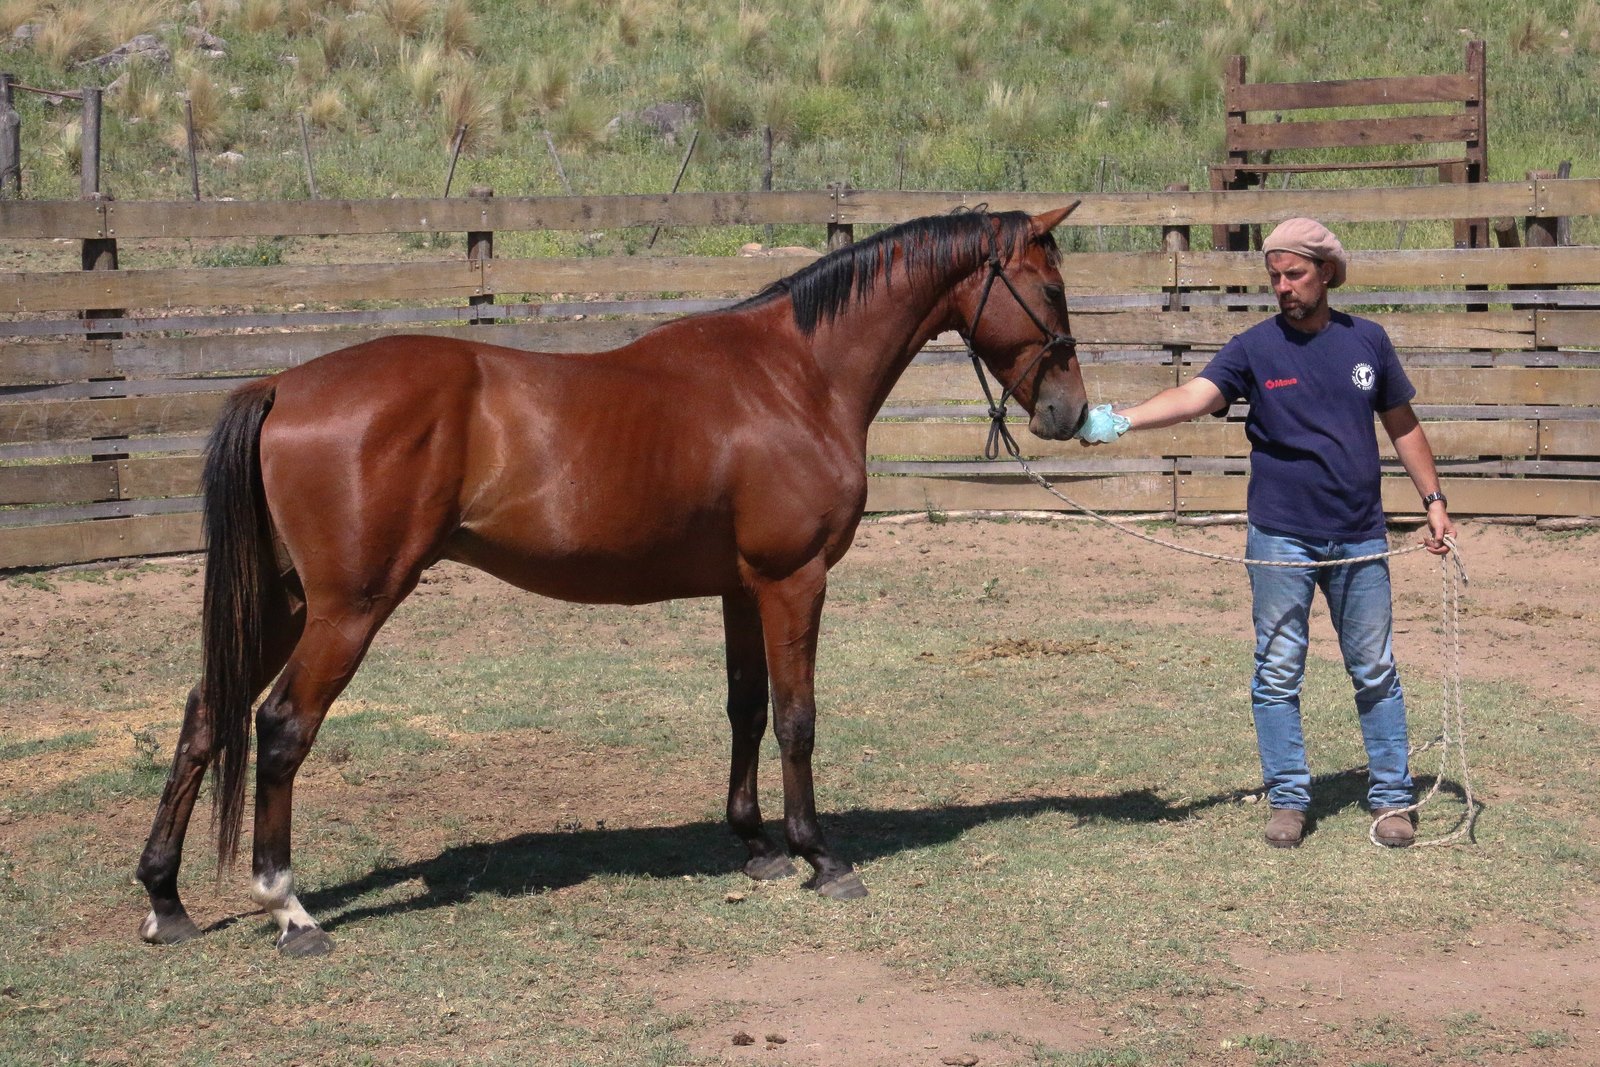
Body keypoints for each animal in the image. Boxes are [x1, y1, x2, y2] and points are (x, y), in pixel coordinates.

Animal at [137, 204, 1088, 953]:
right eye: (1050, 290)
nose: (1069, 411)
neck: (795, 377)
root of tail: (282, 383)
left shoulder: (741, 588)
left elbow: (745, 709)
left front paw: (756, 845)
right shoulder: (794, 580)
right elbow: (797, 719)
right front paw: (821, 855)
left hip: (284, 603)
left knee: (207, 713)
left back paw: (165, 898)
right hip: (348, 609)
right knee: (281, 726)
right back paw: (289, 909)